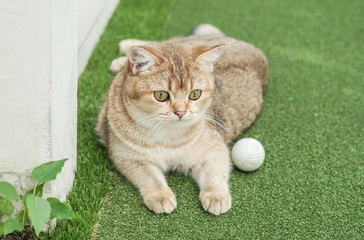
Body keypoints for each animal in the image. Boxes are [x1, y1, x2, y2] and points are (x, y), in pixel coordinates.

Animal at [96, 24, 268, 216]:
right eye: (161, 95)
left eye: (195, 94)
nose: (180, 112)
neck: (164, 135)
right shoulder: (127, 157)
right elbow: (150, 178)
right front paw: (160, 196)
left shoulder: (215, 149)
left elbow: (215, 174)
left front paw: (216, 196)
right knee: (158, 44)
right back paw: (125, 52)